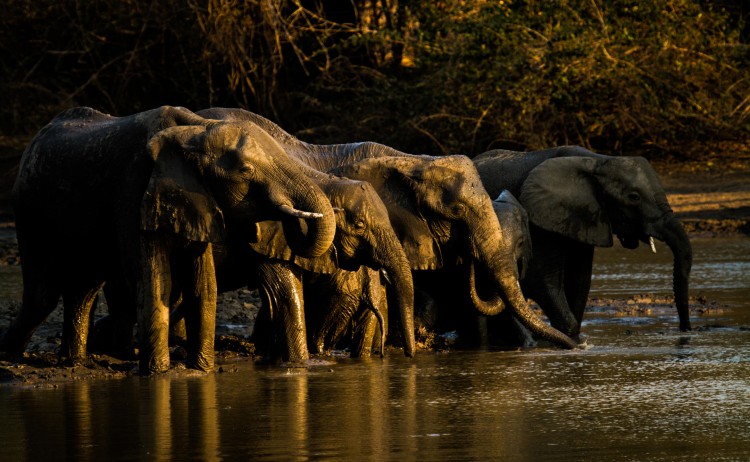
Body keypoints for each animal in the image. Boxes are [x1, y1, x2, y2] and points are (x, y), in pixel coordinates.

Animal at [0, 106, 336, 374]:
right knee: (43, 294)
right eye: (245, 170)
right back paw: (11, 357)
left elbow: (203, 285)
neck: (195, 130)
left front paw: (200, 371)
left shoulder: (198, 199)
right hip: (27, 208)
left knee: (83, 289)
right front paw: (159, 375)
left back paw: (74, 362)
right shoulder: (133, 189)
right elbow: (153, 280)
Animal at [472, 145, 692, 340]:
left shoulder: (584, 214)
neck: (597, 161)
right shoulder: (539, 217)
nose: (685, 330)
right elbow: (541, 278)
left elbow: (580, 277)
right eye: (634, 197)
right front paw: (565, 336)